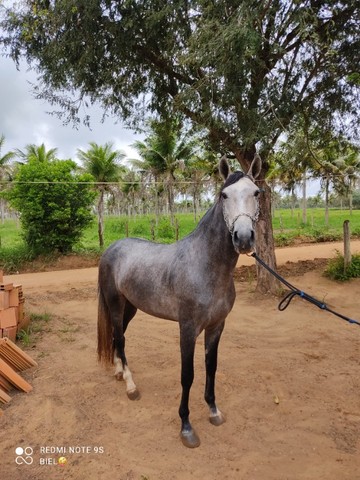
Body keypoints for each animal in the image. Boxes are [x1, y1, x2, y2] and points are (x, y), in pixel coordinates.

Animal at [97, 156, 262, 448]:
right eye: (224, 195)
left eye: (256, 193)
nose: (243, 238)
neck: (204, 266)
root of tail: (111, 249)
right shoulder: (187, 328)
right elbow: (188, 375)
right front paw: (186, 427)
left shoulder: (216, 326)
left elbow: (211, 368)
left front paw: (214, 411)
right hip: (115, 304)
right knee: (120, 338)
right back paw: (130, 386)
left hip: (130, 307)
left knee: (118, 336)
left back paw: (118, 372)